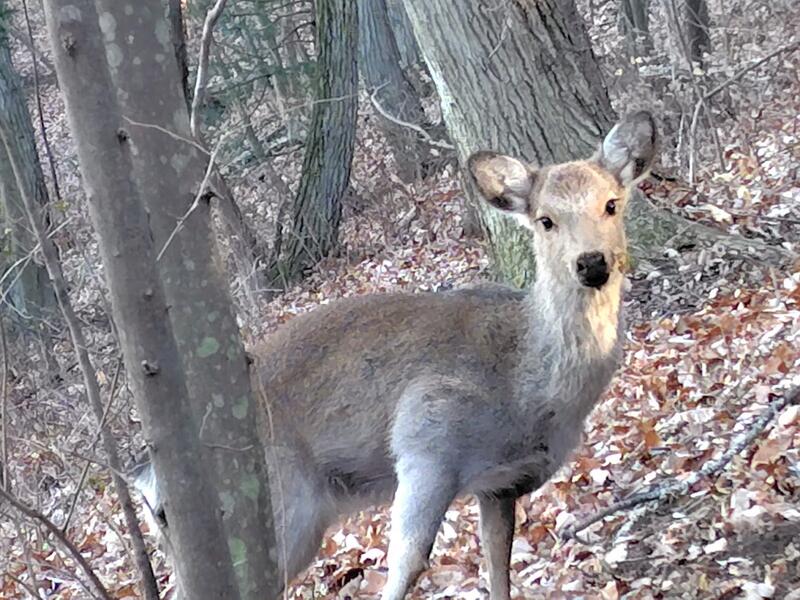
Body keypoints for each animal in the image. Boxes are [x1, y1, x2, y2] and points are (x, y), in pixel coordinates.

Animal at [133, 112, 656, 600]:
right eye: (546, 219)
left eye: (611, 204)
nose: (591, 262)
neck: (527, 382)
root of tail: (148, 476)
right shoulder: (426, 439)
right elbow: (407, 564)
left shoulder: (502, 483)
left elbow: (497, 568)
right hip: (277, 505)